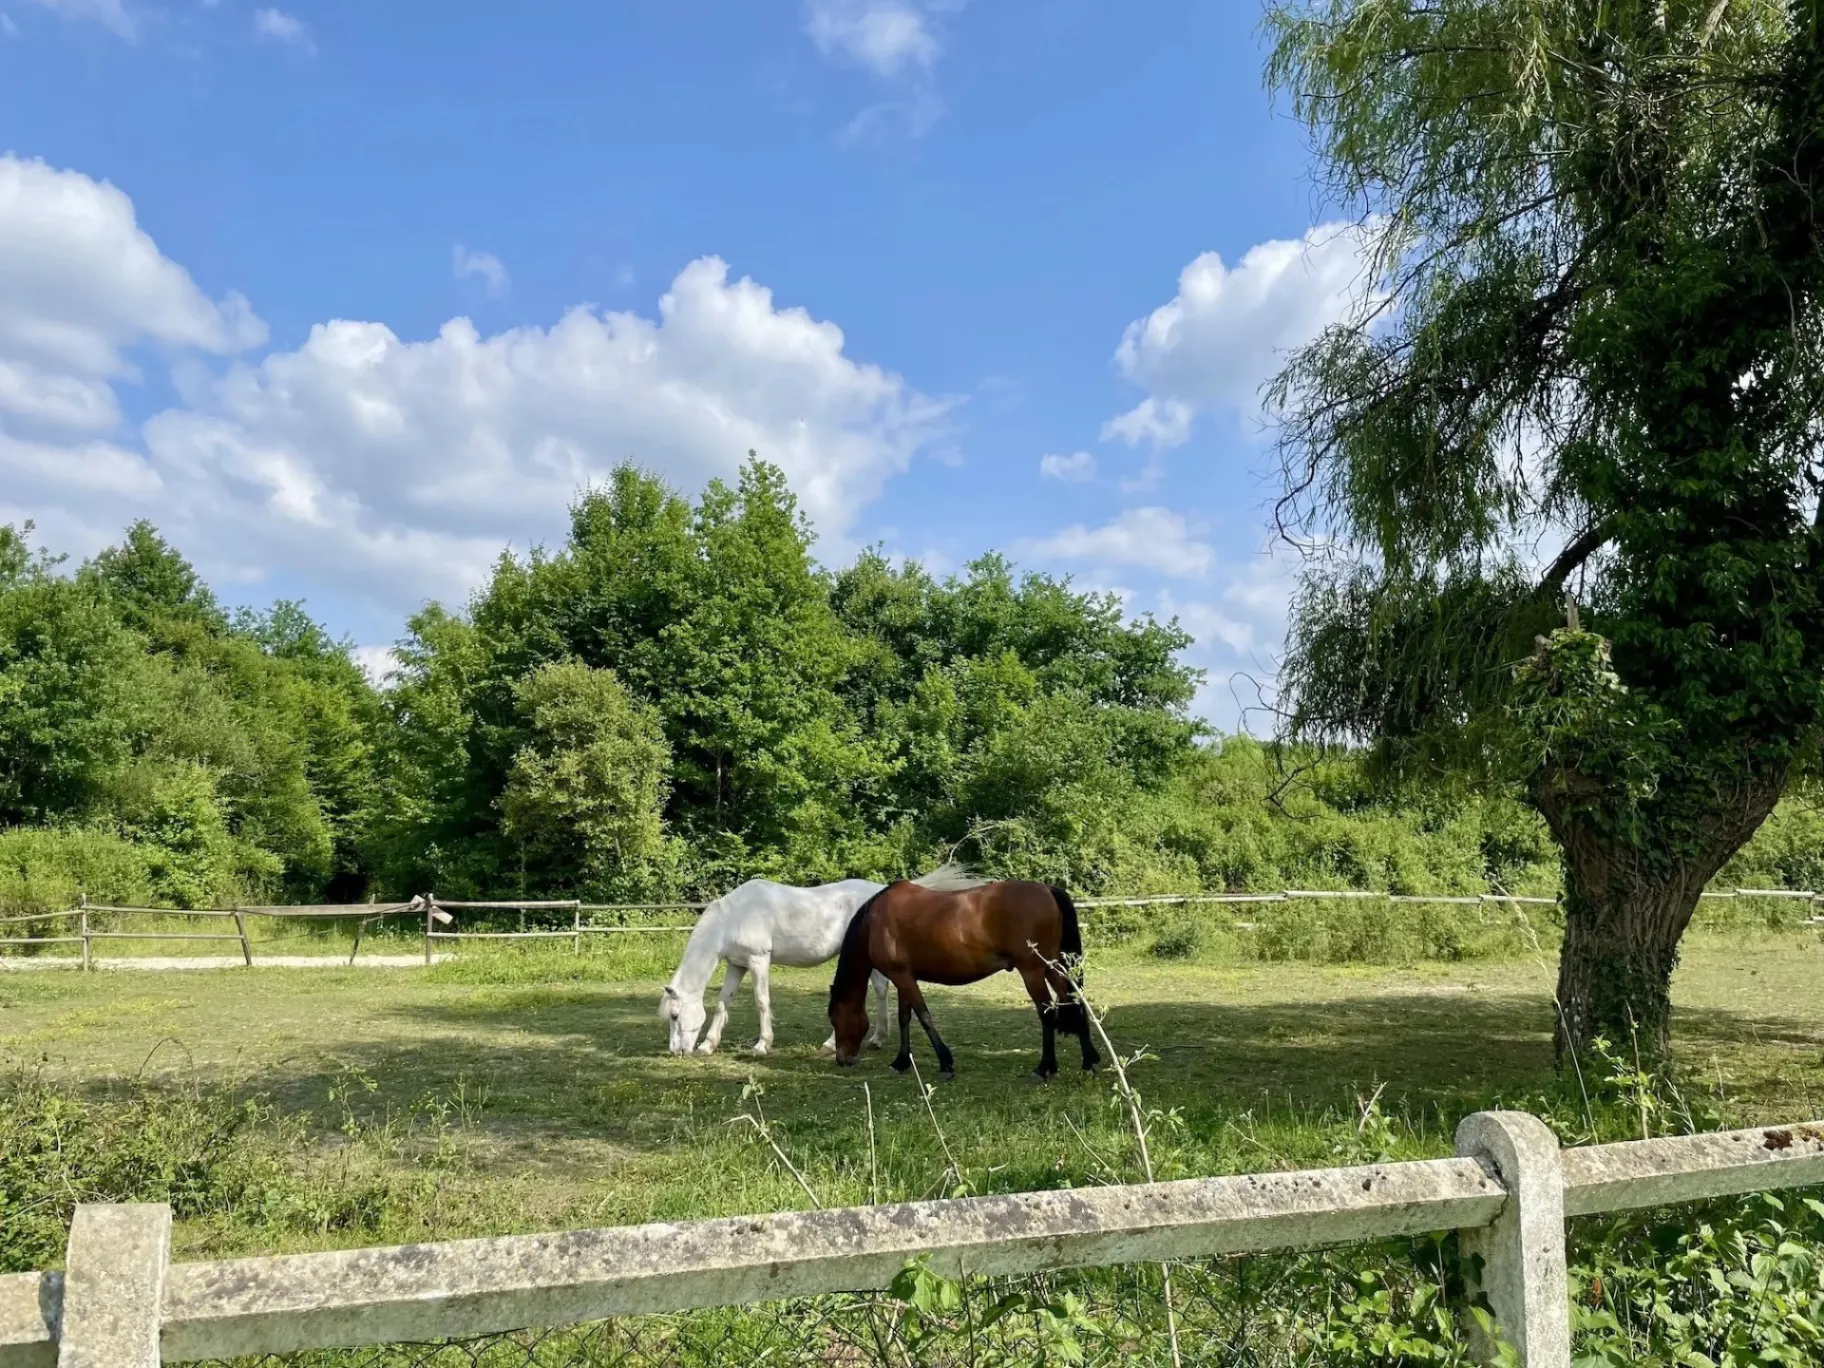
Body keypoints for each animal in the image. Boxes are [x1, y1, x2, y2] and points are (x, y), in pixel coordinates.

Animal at [659, 864, 982, 1056]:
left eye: (674, 1016)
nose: (676, 1052)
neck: (735, 916)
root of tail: (880, 893)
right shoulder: (737, 965)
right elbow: (723, 1003)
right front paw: (708, 1045)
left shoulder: (758, 960)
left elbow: (761, 1002)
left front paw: (762, 1045)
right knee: (879, 990)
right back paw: (874, 1039)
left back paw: (839, 1043)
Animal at [827, 880, 1100, 1080]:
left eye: (836, 1019)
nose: (842, 1059)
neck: (875, 921)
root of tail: (1048, 890)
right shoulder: (903, 977)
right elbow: (905, 1018)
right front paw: (901, 1061)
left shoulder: (902, 977)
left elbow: (924, 1016)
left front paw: (945, 1063)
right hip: (1053, 968)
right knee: (1074, 1002)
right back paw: (1089, 1061)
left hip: (1033, 971)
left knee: (1048, 1012)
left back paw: (1044, 1068)